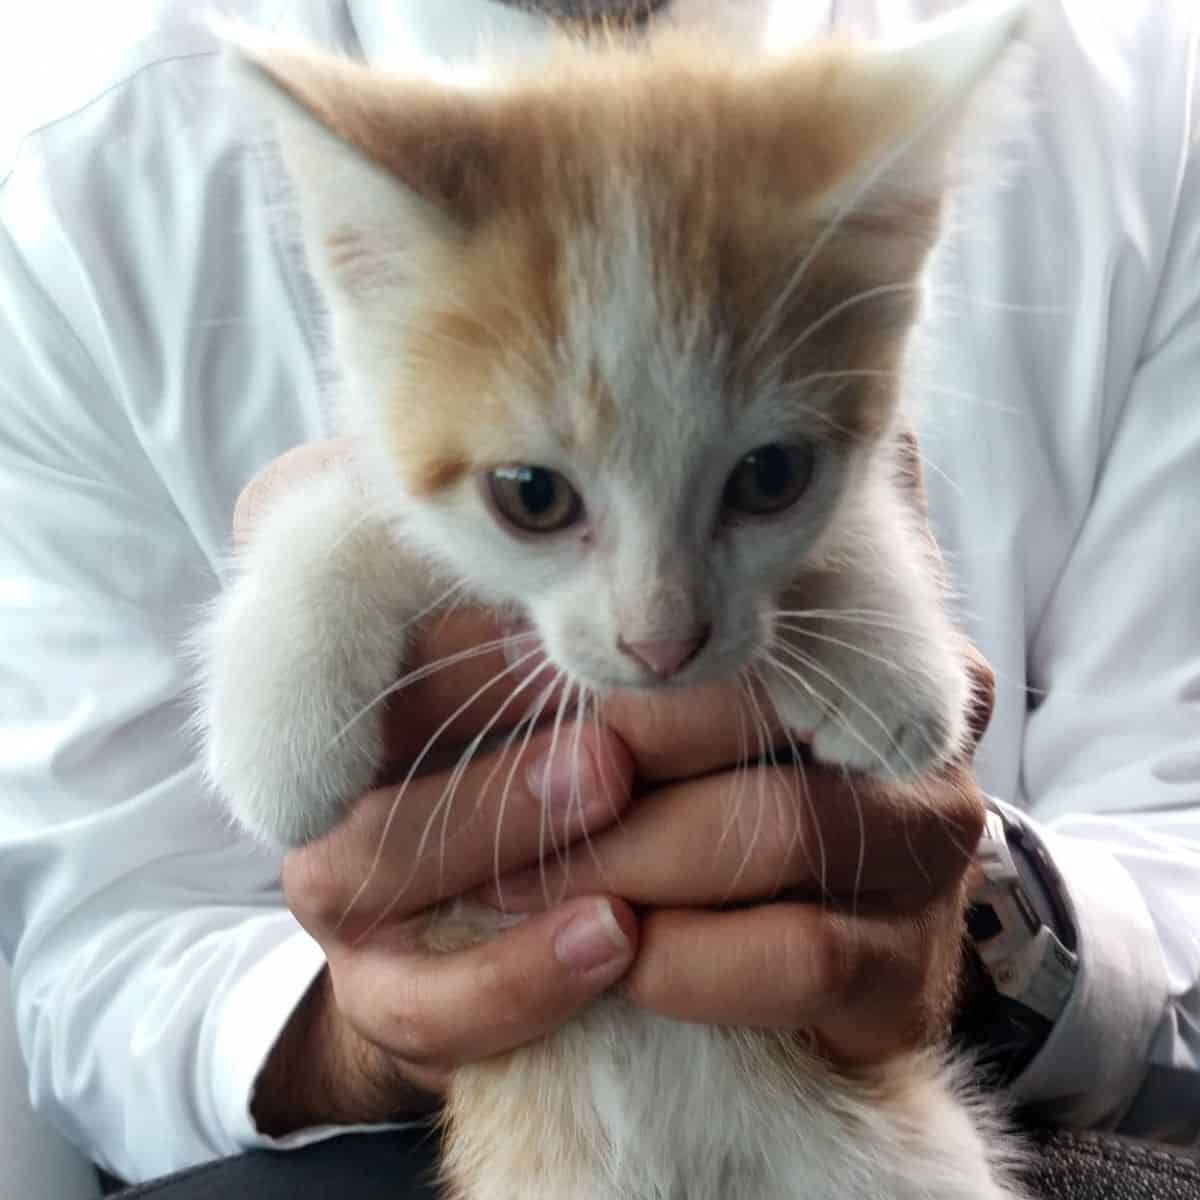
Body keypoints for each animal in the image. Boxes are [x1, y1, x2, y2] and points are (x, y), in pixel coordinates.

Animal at [196, 4, 1032, 1195]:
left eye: (771, 477)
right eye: (530, 496)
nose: (663, 642)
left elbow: (859, 508)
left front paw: (888, 652)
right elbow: (339, 510)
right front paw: (284, 740)